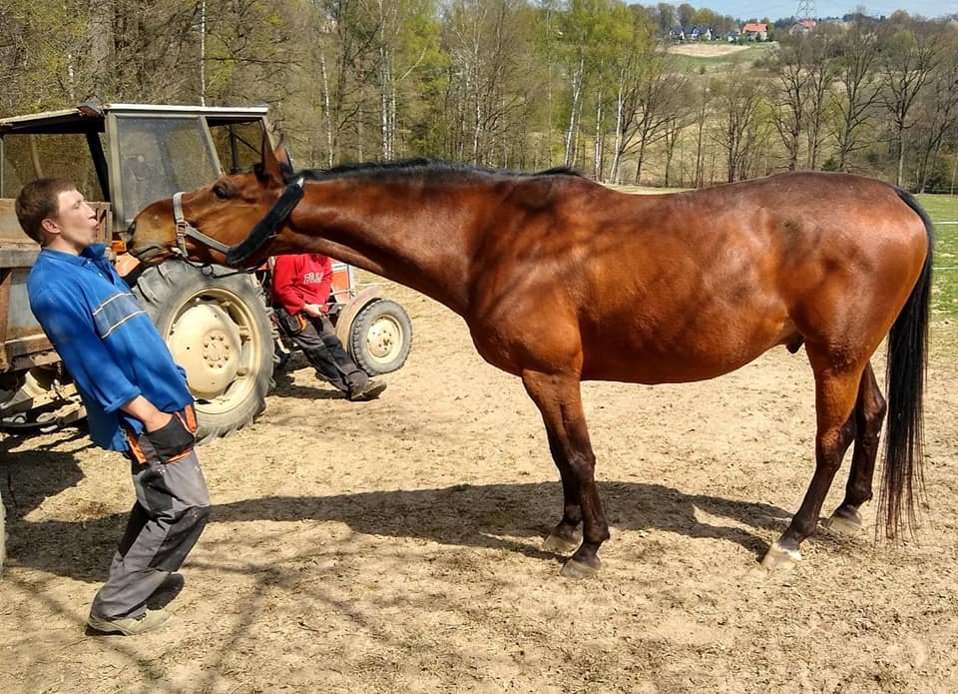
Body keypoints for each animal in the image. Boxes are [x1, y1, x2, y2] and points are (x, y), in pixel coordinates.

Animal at [127, 141, 928, 576]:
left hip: (833, 357)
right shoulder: (542, 378)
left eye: (225, 188)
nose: (137, 225)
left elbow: (579, 454)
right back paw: (849, 512)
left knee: (831, 439)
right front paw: (567, 528)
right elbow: (557, 454)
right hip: (847, 353)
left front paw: (590, 547)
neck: (493, 234)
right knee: (874, 415)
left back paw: (792, 538)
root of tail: (893, 196)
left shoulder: (553, 374)